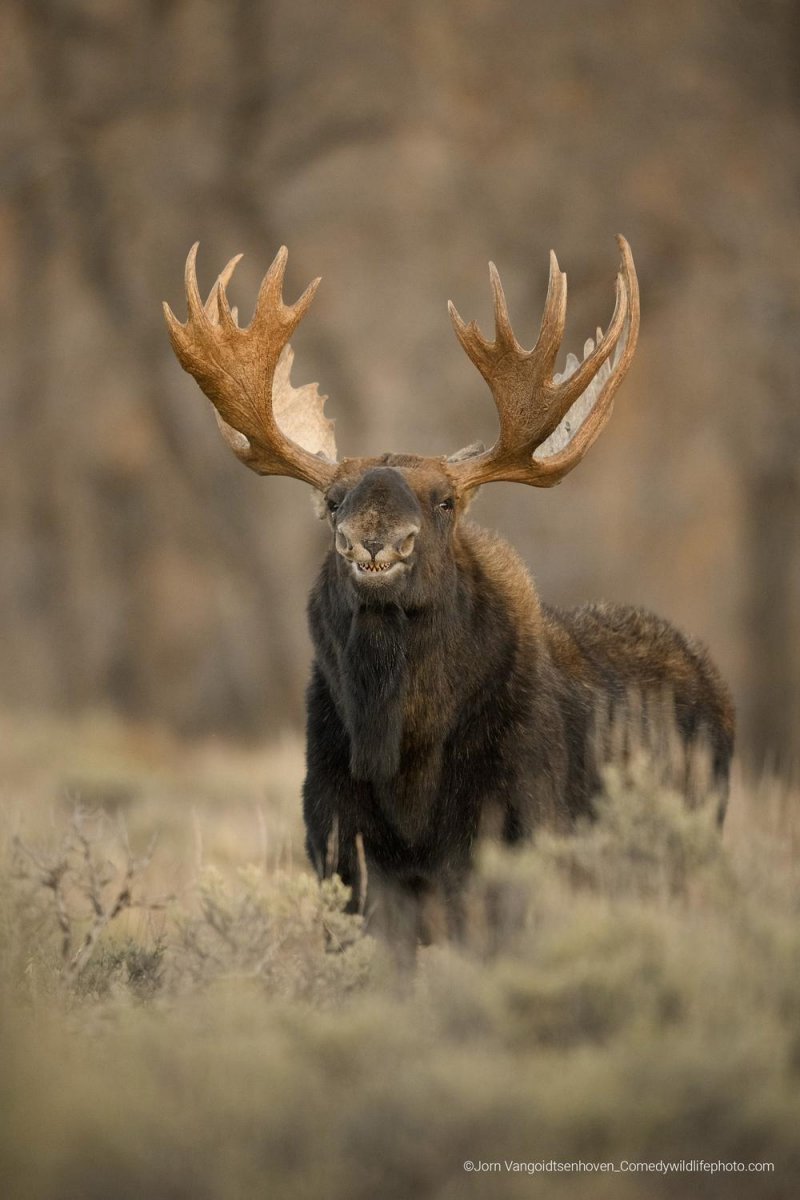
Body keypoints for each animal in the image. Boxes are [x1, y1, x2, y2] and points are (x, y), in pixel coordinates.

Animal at [165, 236, 734, 945]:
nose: (374, 539)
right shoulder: (341, 855)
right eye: (333, 500)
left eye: (446, 501)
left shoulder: (513, 841)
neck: (405, 761)